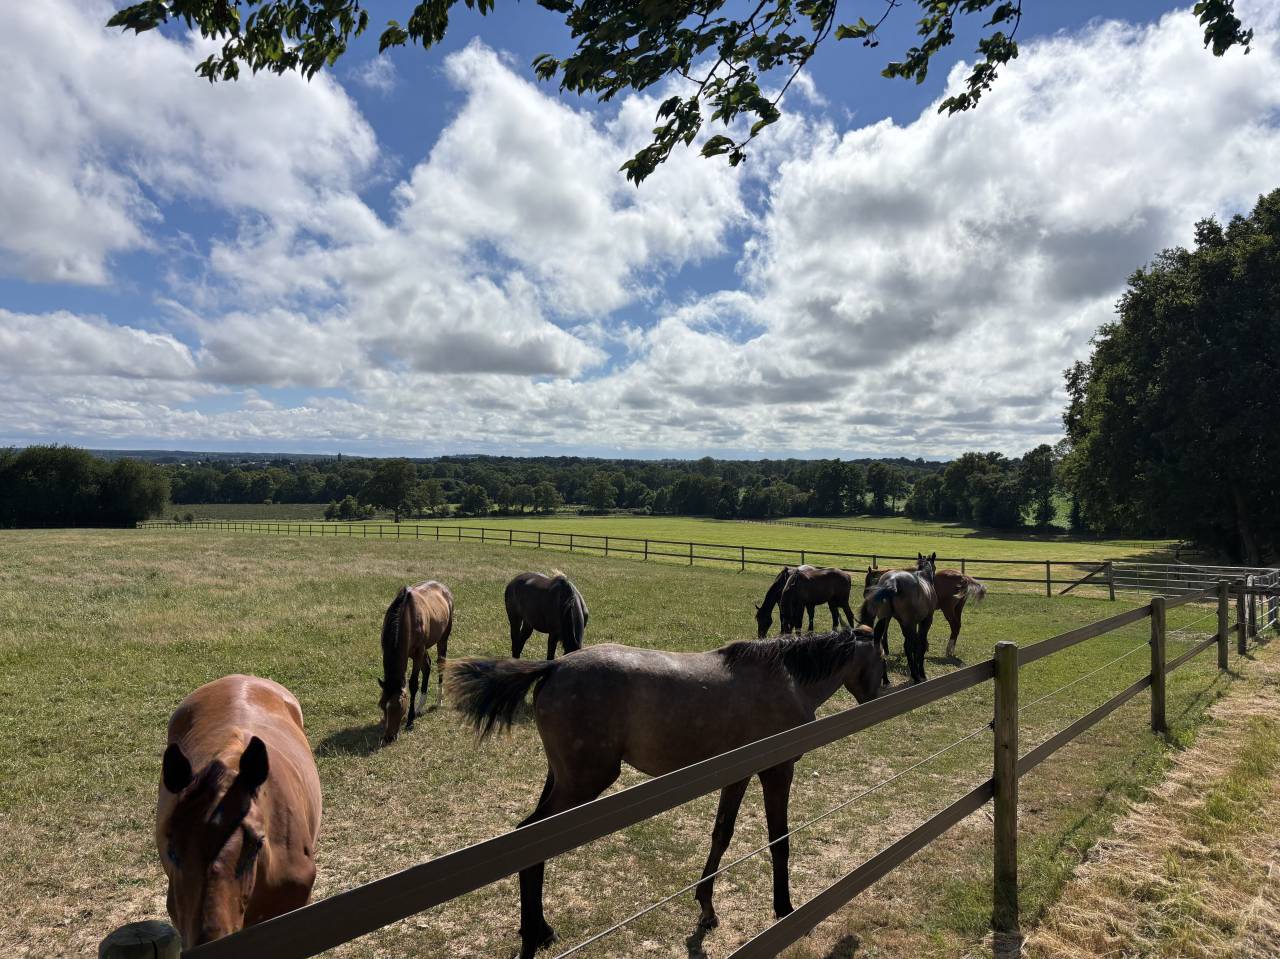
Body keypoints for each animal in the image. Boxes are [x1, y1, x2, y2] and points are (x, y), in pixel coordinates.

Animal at [378, 581, 455, 745]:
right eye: (381, 706)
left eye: (399, 707)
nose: (389, 737)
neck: (405, 617)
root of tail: (443, 588)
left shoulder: (418, 651)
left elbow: (413, 683)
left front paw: (410, 721)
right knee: (427, 666)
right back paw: (420, 705)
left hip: (443, 638)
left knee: (440, 663)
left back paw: (439, 700)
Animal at [446, 626, 884, 959]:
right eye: (879, 660)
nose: (881, 697)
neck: (786, 678)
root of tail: (554, 666)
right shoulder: (777, 771)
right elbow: (780, 841)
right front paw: (785, 908)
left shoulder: (736, 776)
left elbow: (722, 835)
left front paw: (707, 908)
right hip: (583, 784)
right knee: (531, 840)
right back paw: (537, 933)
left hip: (563, 780)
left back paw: (539, 930)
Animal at [861, 553, 938, 685]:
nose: (865, 595)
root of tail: (892, 581)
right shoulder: (925, 620)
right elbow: (920, 644)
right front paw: (921, 672)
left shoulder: (904, 622)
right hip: (909, 623)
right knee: (910, 645)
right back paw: (916, 676)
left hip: (886, 619)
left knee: (882, 643)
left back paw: (886, 679)